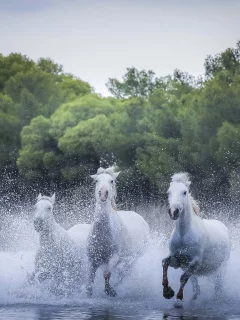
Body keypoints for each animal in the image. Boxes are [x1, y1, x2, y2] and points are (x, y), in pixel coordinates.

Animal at [86, 168, 150, 298]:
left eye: (111, 181)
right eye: (96, 180)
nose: (103, 194)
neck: (102, 232)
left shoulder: (114, 257)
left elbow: (106, 274)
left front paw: (110, 291)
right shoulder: (92, 258)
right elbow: (90, 280)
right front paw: (89, 294)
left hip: (133, 260)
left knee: (123, 274)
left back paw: (115, 287)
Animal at [161, 172, 231, 302]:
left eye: (184, 192)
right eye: (168, 192)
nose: (173, 212)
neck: (184, 235)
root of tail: (223, 226)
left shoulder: (196, 262)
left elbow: (183, 277)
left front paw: (178, 296)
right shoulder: (178, 260)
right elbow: (165, 262)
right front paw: (167, 291)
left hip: (222, 268)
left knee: (218, 287)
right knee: (195, 285)